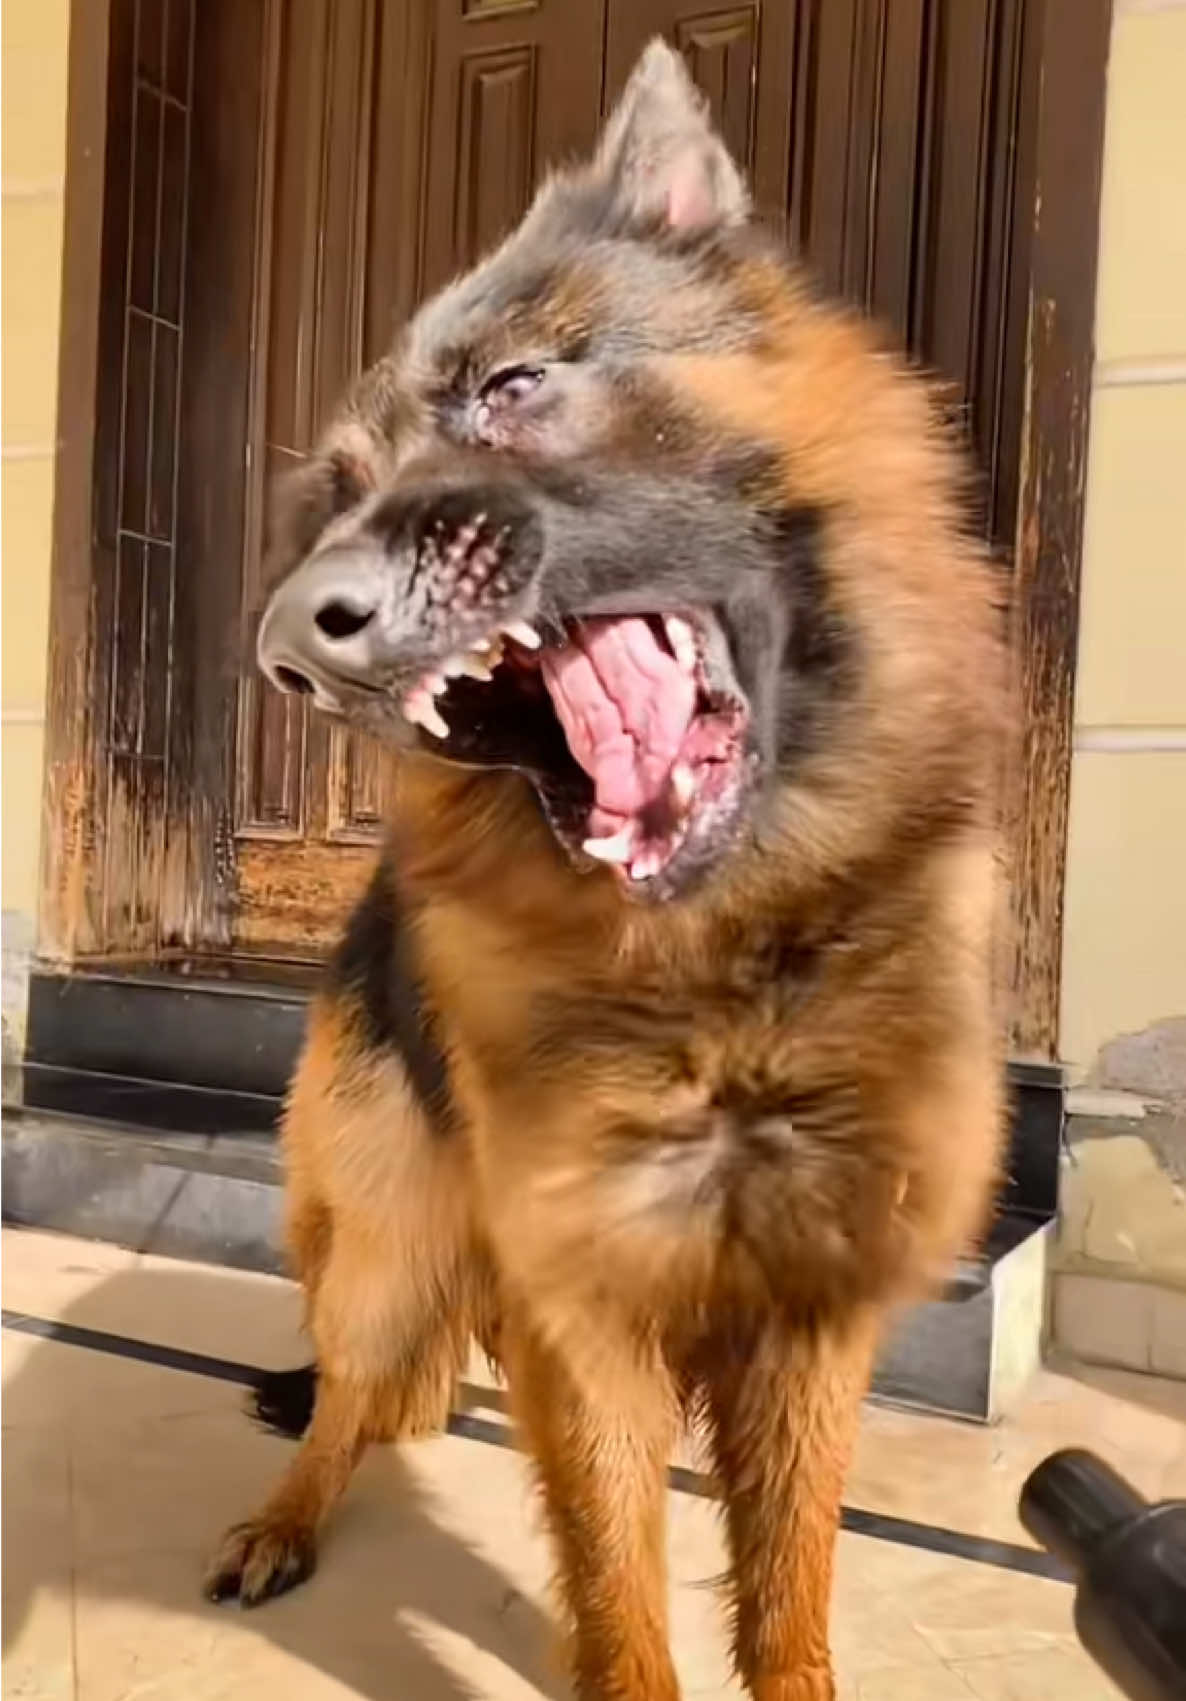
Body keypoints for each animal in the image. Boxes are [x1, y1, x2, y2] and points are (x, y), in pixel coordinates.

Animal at [208, 39, 1000, 1701]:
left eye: (515, 386)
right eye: (339, 493)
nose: (292, 642)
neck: (724, 976)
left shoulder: (803, 1319)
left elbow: (785, 1588)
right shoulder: (586, 1314)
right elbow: (619, 1587)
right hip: (385, 1240)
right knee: (349, 1393)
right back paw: (287, 1517)